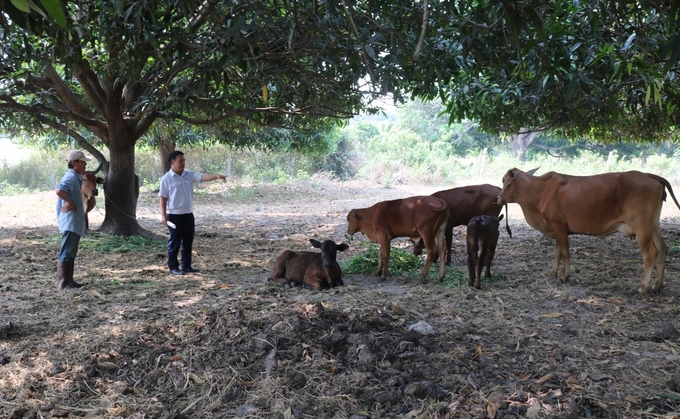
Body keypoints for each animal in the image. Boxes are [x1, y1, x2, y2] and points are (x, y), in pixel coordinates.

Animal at [494, 169, 680, 294]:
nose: (498, 198)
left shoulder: (559, 225)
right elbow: (557, 252)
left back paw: (644, 286)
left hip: (642, 227)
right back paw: (657, 285)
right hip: (653, 226)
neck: (540, 190)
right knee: (663, 248)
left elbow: (565, 252)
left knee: (651, 253)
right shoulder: (558, 229)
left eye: (504, 180)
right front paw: (553, 272)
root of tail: (648, 175)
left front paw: (565, 276)